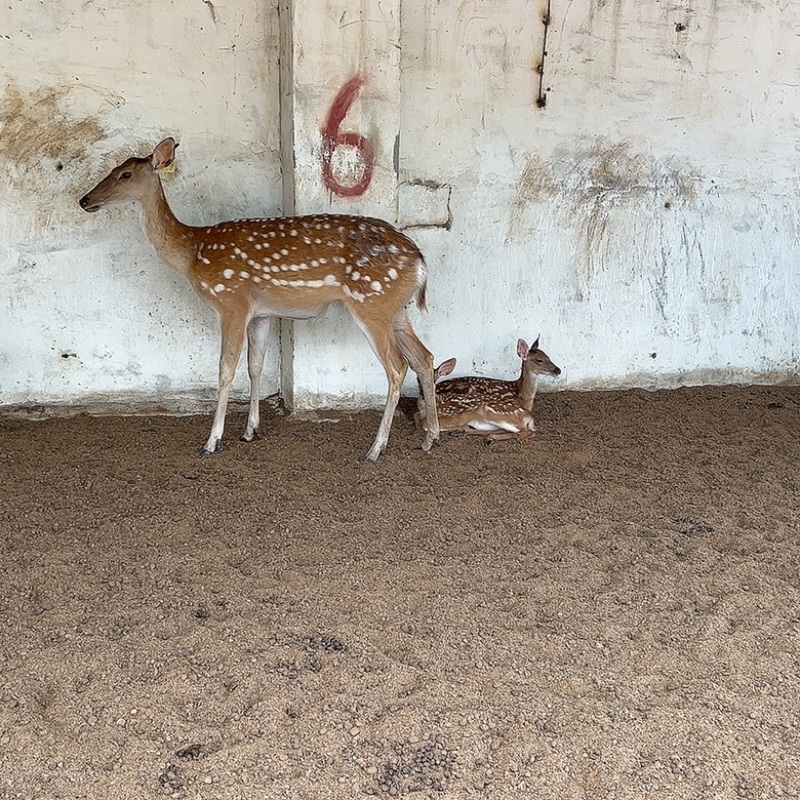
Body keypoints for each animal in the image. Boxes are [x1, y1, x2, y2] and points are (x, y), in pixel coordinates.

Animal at [78, 137, 439, 461]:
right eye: (113, 168)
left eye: (125, 174)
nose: (84, 200)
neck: (192, 251)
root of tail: (421, 261)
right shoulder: (262, 312)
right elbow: (255, 366)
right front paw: (250, 431)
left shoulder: (231, 301)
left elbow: (226, 369)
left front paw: (212, 441)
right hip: (396, 308)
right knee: (424, 357)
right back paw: (430, 438)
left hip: (371, 302)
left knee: (397, 366)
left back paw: (376, 449)